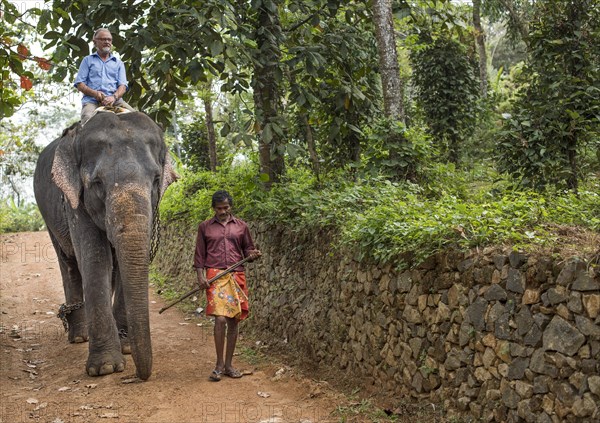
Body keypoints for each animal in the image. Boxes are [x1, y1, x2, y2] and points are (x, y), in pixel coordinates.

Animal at [33, 110, 177, 380]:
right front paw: (106, 368)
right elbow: (95, 259)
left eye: (156, 179)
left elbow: (120, 263)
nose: (142, 376)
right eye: (97, 182)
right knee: (68, 262)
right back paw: (79, 337)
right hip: (48, 216)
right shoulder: (75, 201)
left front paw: (127, 347)